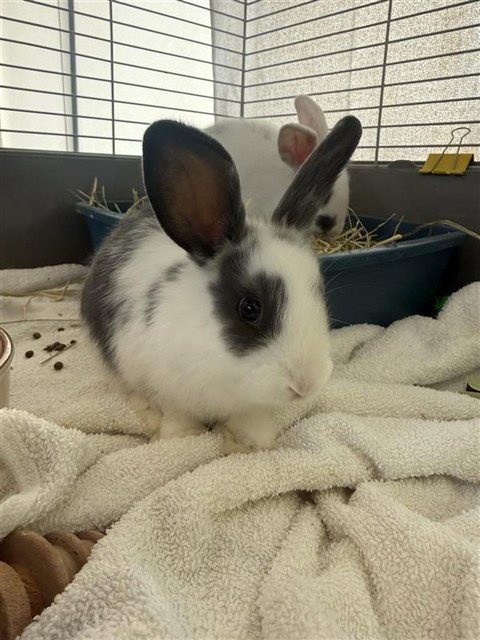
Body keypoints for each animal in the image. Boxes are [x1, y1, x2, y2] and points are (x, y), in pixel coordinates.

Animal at [81, 115, 362, 453]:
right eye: (250, 308)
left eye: (319, 292)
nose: (305, 383)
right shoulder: (162, 383)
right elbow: (176, 415)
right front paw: (180, 437)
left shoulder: (251, 405)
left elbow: (252, 421)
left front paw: (253, 443)